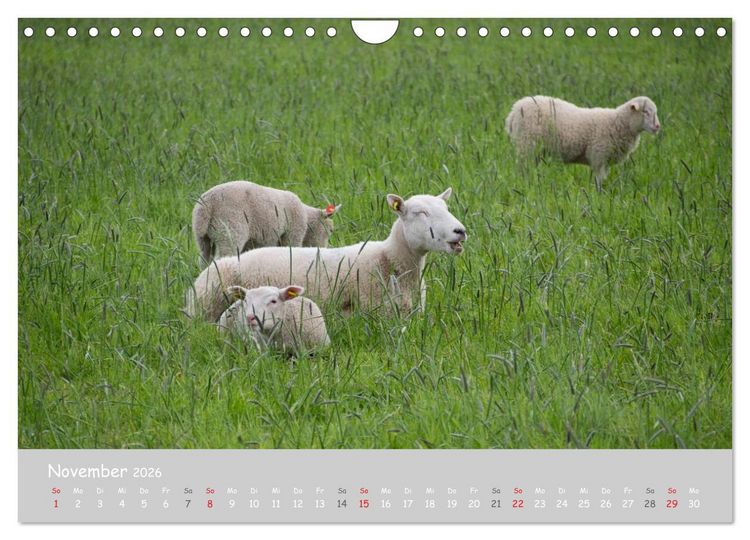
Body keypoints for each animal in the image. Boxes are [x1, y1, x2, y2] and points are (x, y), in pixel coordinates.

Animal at [192, 180, 342, 265]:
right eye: (330, 231)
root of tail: (207, 205)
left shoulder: (253, 243)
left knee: (204, 260)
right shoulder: (293, 233)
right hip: (229, 230)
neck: (306, 217)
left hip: (203, 238)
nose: (323, 249)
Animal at [505, 95, 661, 190]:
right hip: (526, 143)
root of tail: (513, 112)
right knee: (523, 168)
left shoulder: (604, 160)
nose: (657, 126)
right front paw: (598, 196)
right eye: (645, 112)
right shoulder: (599, 156)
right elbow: (599, 181)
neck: (619, 122)